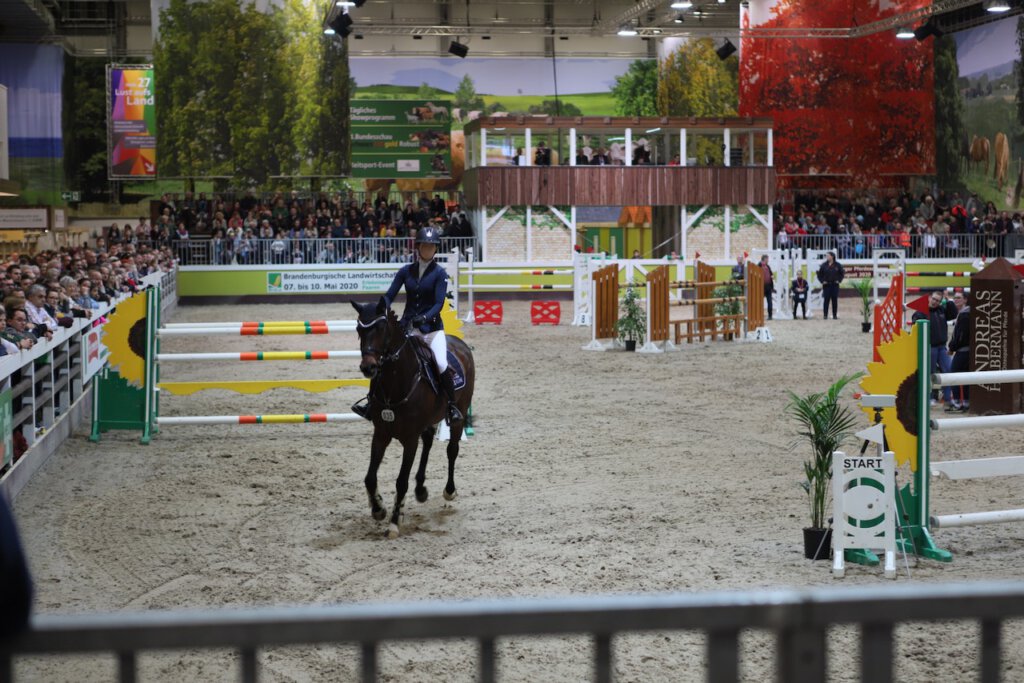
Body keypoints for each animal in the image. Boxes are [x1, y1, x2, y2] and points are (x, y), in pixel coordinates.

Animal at [348, 299, 475, 540]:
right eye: (359, 329)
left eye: (381, 328)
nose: (368, 367)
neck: (396, 382)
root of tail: (460, 344)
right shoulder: (381, 434)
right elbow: (370, 478)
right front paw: (378, 509)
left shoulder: (409, 440)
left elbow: (401, 481)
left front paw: (394, 522)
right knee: (428, 440)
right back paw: (420, 490)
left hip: (459, 416)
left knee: (452, 450)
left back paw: (449, 491)